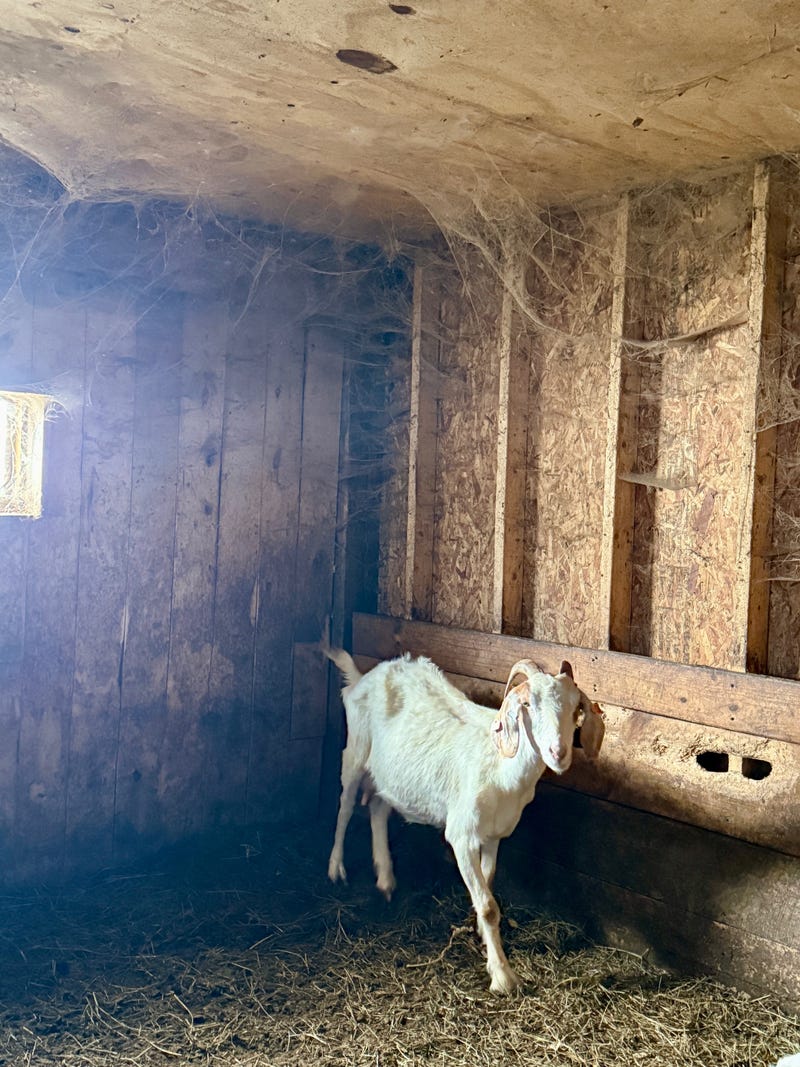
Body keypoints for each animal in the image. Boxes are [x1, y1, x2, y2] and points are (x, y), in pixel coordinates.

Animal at [325, 646, 605, 993]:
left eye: (576, 707)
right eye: (527, 704)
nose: (558, 752)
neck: (500, 764)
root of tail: (365, 676)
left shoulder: (493, 836)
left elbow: (489, 884)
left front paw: (483, 938)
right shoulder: (462, 837)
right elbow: (488, 905)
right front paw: (502, 976)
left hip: (389, 775)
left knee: (377, 807)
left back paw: (386, 880)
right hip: (355, 751)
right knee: (345, 806)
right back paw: (336, 868)